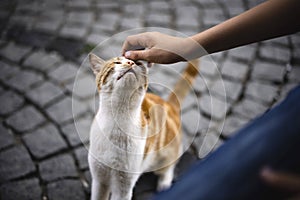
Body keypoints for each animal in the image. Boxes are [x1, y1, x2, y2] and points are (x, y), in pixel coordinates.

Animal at [88, 53, 199, 200]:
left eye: (137, 63)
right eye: (117, 62)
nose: (130, 62)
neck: (118, 120)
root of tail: (169, 104)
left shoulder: (123, 188)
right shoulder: (99, 180)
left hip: (164, 158)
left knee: (168, 167)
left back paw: (164, 183)